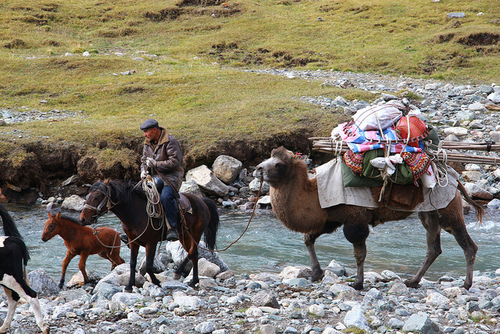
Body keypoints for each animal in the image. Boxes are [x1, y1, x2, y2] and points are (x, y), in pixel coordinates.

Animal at [78, 179, 219, 290]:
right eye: (88, 196)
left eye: (97, 197)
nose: (82, 219)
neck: (136, 212)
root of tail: (202, 201)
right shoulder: (133, 242)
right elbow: (132, 263)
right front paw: (129, 285)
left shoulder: (151, 242)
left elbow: (149, 265)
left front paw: (156, 281)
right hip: (184, 235)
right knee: (194, 254)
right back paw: (194, 281)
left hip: (195, 233)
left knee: (192, 252)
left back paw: (179, 273)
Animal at [256, 146, 482, 290]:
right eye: (267, 158)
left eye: (278, 164)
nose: (258, 169)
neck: (316, 193)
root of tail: (454, 177)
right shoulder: (331, 218)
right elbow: (308, 238)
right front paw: (316, 273)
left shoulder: (355, 218)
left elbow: (359, 253)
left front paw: (357, 283)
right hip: (429, 211)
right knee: (433, 247)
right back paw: (412, 281)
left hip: (448, 206)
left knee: (466, 243)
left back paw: (466, 284)